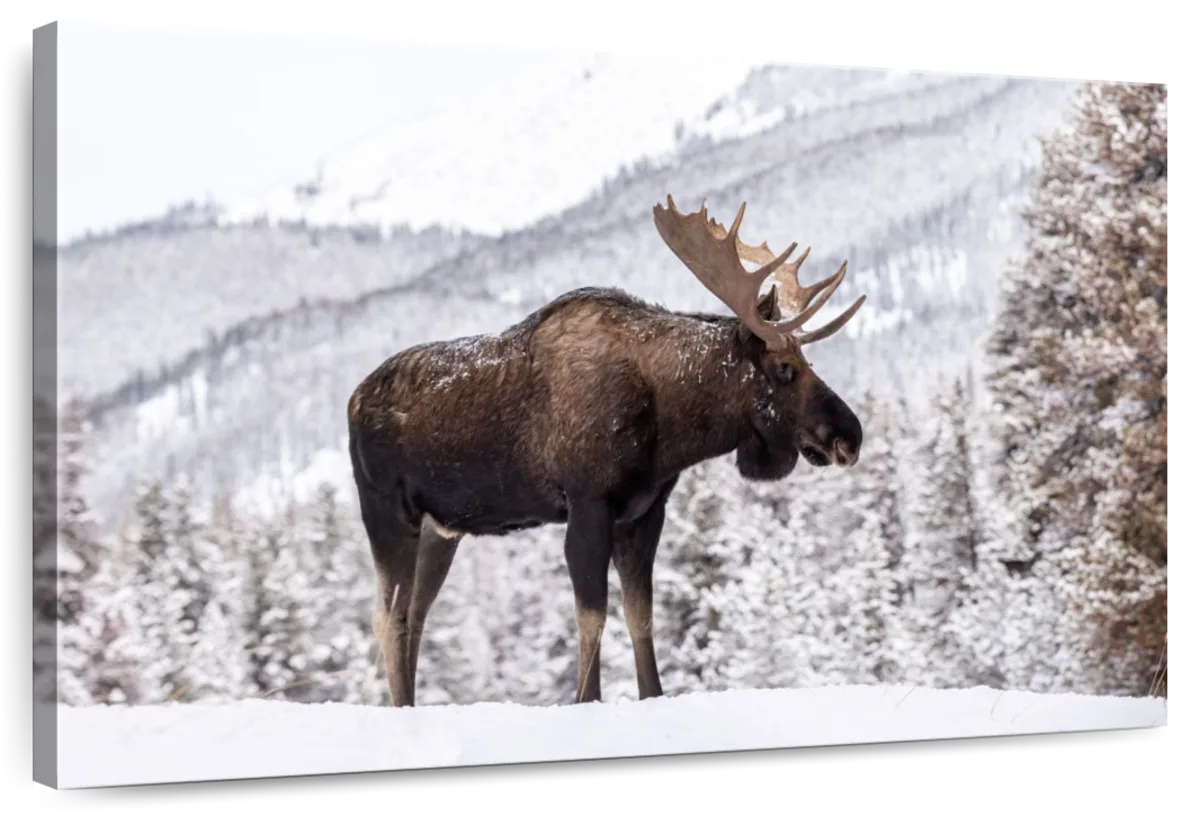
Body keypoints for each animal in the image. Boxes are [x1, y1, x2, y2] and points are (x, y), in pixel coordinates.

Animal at [347, 194, 867, 707]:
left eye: (807, 360)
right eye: (783, 368)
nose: (850, 435)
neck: (670, 422)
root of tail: (352, 401)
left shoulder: (644, 512)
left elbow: (641, 617)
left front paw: (651, 694)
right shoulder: (588, 503)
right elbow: (591, 618)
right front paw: (586, 700)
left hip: (442, 529)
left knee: (416, 614)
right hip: (387, 511)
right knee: (388, 616)